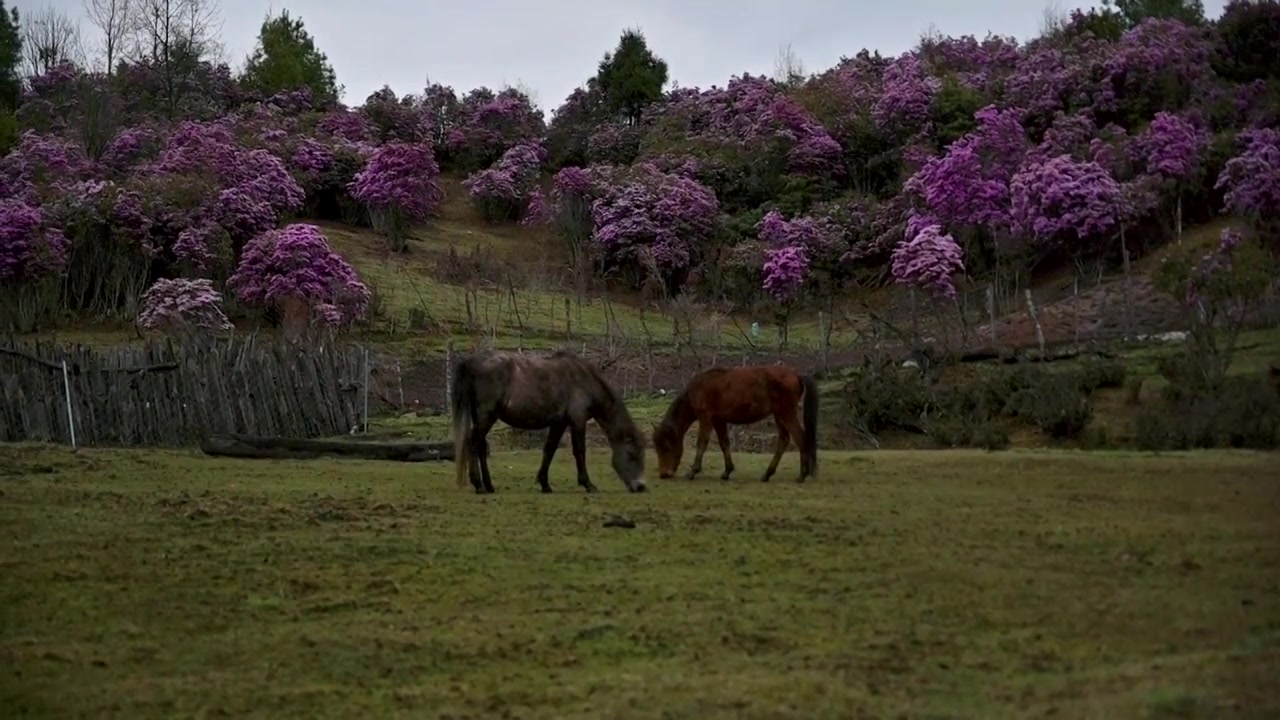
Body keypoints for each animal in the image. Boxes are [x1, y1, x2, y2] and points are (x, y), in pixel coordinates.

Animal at [453, 348, 650, 491]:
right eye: (632, 455)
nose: (640, 486)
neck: (584, 379)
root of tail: (471, 361)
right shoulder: (577, 420)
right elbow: (580, 450)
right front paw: (587, 484)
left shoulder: (559, 423)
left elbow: (549, 450)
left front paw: (544, 484)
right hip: (486, 416)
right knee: (473, 442)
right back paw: (479, 485)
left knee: (479, 445)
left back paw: (488, 485)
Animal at [650, 363, 819, 481]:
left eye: (666, 447)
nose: (664, 474)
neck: (698, 389)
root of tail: (796, 375)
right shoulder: (719, 421)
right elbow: (724, 443)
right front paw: (727, 471)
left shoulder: (705, 419)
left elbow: (702, 443)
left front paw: (693, 471)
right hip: (779, 415)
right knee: (783, 440)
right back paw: (767, 474)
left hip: (787, 413)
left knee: (801, 438)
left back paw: (802, 475)